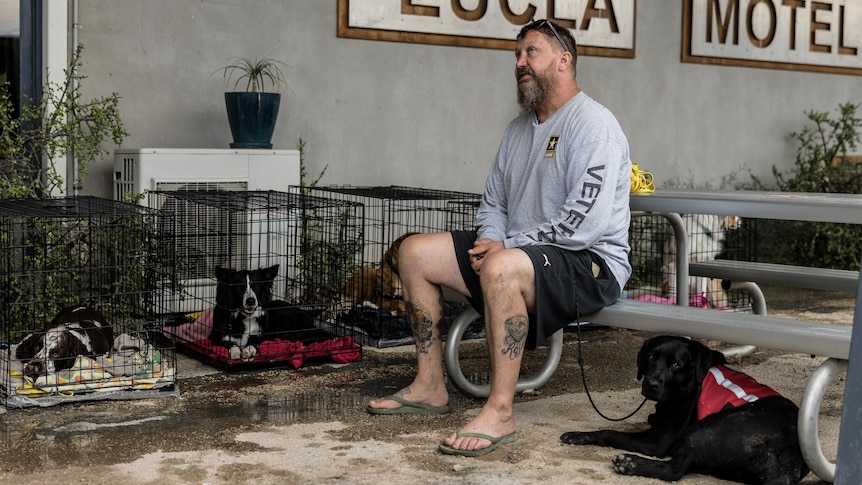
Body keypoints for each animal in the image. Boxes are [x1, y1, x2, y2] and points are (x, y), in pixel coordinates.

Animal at [560, 334, 808, 482]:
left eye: (675, 365)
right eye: (651, 357)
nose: (651, 384)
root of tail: (791, 458)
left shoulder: (657, 441)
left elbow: (611, 432)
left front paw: (579, 434)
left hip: (703, 431)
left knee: (674, 470)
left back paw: (630, 463)